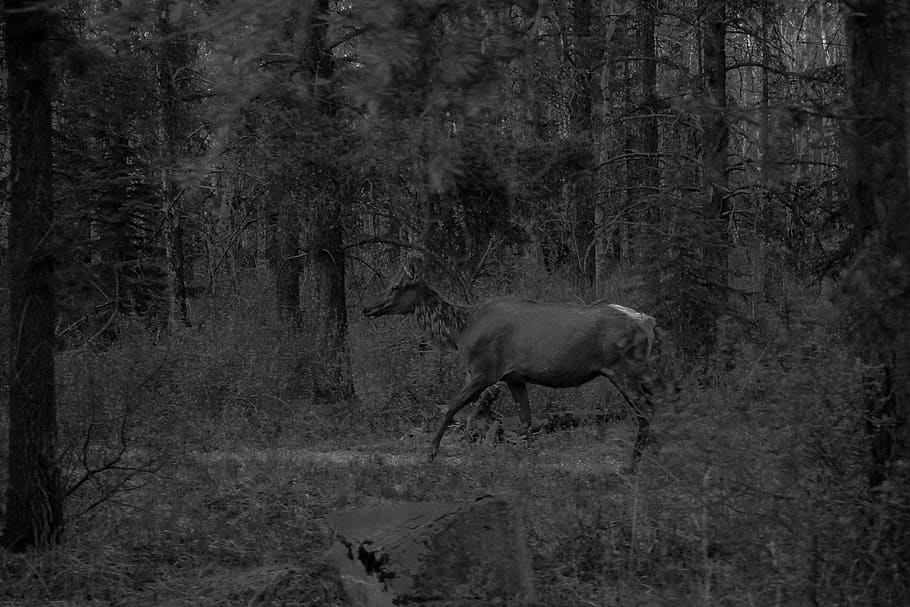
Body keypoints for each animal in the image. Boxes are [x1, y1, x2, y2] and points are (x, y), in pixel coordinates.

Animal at [363, 259, 658, 471]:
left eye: (396, 286)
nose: (367, 308)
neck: (460, 331)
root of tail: (649, 322)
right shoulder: (515, 377)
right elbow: (526, 420)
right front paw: (530, 458)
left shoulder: (484, 371)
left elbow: (450, 408)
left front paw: (430, 453)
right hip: (639, 371)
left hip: (622, 369)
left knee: (646, 413)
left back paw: (632, 465)